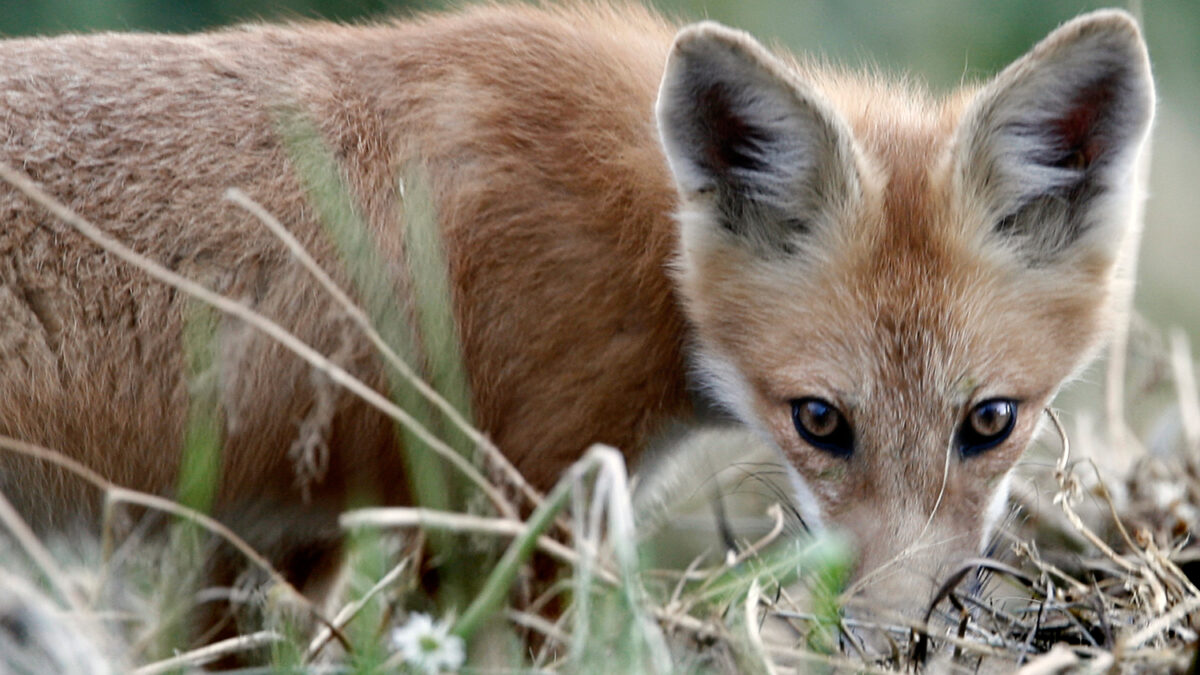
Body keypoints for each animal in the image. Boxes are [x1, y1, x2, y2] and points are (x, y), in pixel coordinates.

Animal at [0, 1, 1152, 634]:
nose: (883, 633)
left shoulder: (272, 527)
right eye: (820, 422)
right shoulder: (516, 505)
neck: (648, 242)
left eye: (990, 424)